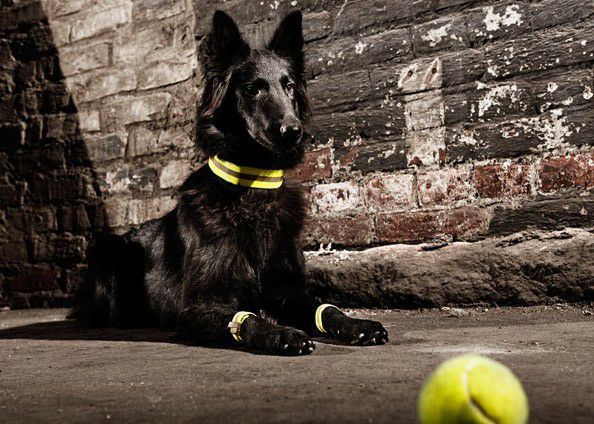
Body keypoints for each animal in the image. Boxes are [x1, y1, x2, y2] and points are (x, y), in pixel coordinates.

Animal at [71, 10, 388, 355]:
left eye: (289, 87)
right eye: (252, 89)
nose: (293, 131)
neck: (253, 186)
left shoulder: (287, 290)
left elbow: (327, 310)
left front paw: (357, 324)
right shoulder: (198, 307)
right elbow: (247, 319)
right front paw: (282, 334)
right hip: (109, 251)